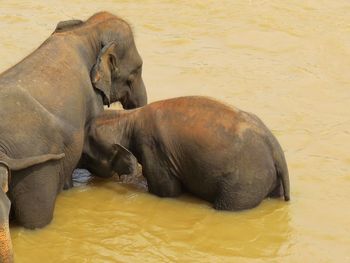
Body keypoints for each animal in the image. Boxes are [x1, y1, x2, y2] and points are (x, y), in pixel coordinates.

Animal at [82, 96, 290, 210]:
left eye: (86, 156)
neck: (127, 118)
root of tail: (275, 149)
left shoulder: (152, 147)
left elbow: (167, 191)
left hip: (244, 181)